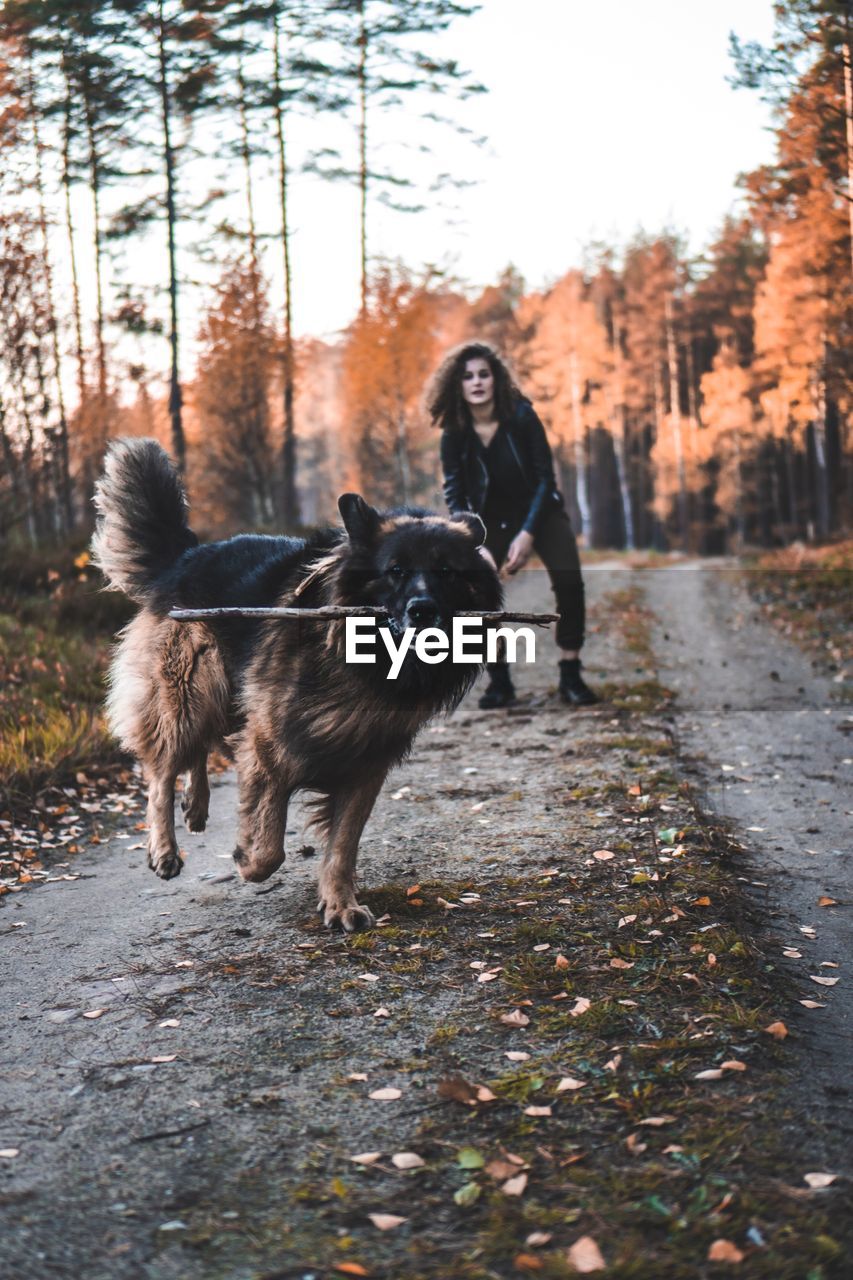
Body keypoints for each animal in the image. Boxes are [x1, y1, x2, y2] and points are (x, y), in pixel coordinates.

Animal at [89, 440, 502, 931]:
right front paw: (247, 861)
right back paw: (165, 848)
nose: (422, 610)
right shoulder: (271, 747)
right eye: (396, 570)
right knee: (163, 769)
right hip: (189, 692)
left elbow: (342, 845)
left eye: (447, 571)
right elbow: (269, 845)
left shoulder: (366, 762)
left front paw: (340, 903)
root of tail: (186, 556)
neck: (363, 660)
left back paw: (196, 805)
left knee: (204, 747)